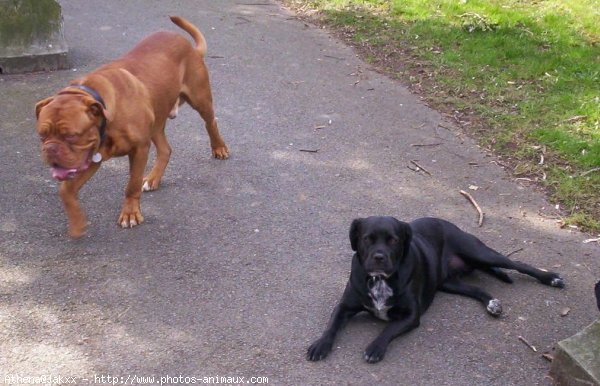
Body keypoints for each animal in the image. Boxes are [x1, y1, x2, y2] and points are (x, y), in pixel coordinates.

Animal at [35, 15, 227, 237]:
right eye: (42, 136)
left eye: (71, 136)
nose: (50, 149)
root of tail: (190, 47)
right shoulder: (93, 158)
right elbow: (65, 190)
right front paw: (77, 223)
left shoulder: (139, 150)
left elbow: (132, 184)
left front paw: (130, 214)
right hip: (156, 119)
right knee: (165, 149)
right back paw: (153, 178)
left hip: (200, 99)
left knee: (210, 122)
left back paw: (219, 148)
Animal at [308, 216, 564, 364]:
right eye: (367, 238)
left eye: (393, 240)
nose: (379, 257)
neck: (380, 279)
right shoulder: (344, 306)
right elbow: (332, 325)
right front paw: (320, 344)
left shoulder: (411, 315)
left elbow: (388, 329)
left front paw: (375, 347)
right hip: (449, 283)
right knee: (477, 289)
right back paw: (492, 303)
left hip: (479, 252)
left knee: (517, 264)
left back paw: (551, 278)